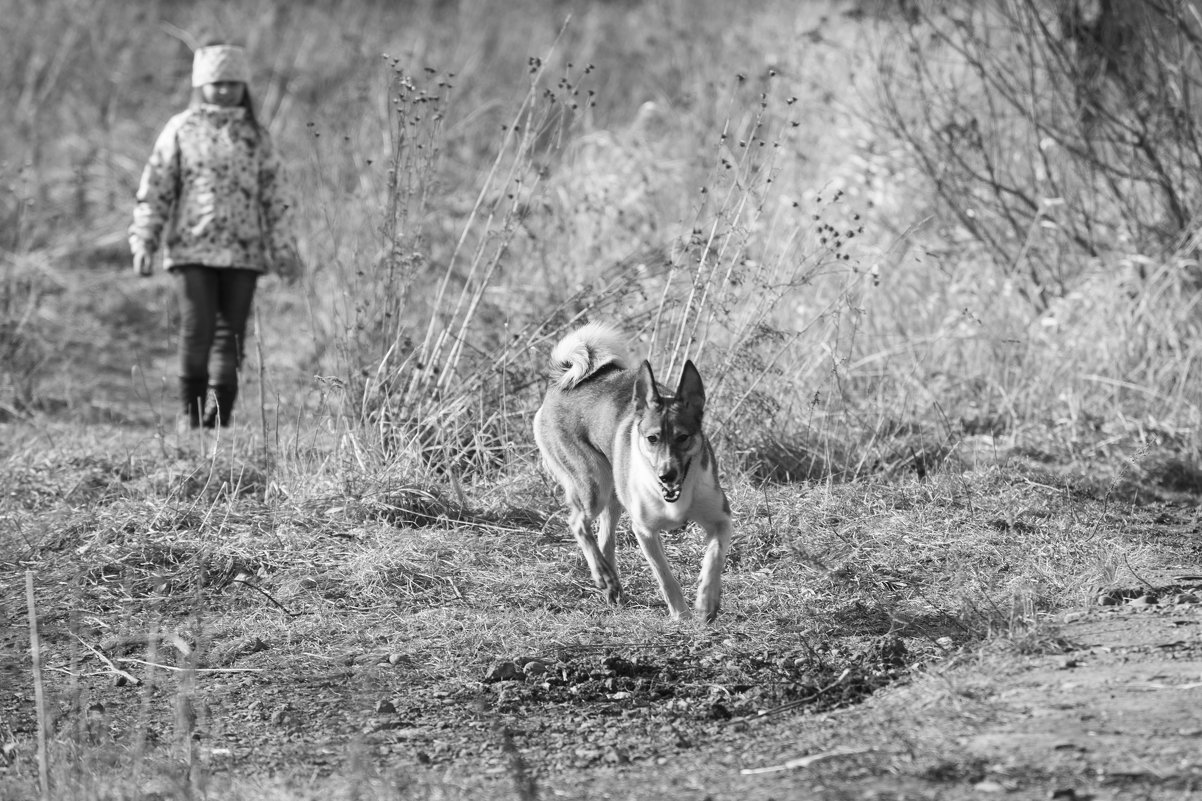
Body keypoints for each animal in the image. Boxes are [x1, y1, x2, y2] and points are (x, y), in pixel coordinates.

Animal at [536, 322, 730, 620]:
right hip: (595, 485)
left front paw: (707, 600)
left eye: (683, 437)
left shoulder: (721, 519)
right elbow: (665, 575)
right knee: (578, 523)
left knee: (604, 539)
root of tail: (560, 382)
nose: (666, 475)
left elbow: (714, 557)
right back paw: (602, 575)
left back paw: (612, 586)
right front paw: (681, 615)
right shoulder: (645, 531)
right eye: (652, 438)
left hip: (613, 495)